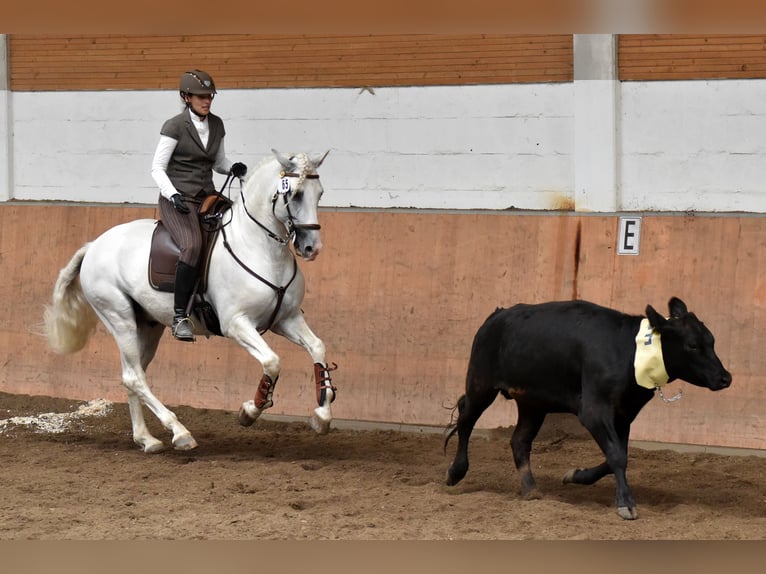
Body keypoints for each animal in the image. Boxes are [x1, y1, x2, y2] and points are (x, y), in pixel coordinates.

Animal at [43, 149, 337, 453]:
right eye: (297, 194)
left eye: (320, 193)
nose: (312, 248)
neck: (258, 247)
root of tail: (94, 245)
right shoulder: (237, 324)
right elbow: (272, 361)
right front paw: (250, 410)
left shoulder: (286, 319)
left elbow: (318, 347)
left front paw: (322, 415)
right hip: (119, 318)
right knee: (134, 377)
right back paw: (179, 432)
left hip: (147, 326)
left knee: (133, 376)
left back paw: (146, 439)